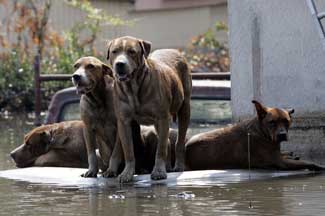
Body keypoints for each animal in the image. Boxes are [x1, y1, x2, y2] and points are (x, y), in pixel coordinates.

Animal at [107, 36, 191, 181]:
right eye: (114, 51)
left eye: (132, 52)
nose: (120, 64)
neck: (133, 88)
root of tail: (176, 51)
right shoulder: (124, 121)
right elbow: (128, 150)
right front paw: (127, 173)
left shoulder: (162, 118)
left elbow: (160, 149)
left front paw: (158, 171)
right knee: (166, 141)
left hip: (185, 107)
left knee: (178, 140)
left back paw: (178, 166)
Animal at [185, 100, 324, 171]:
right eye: (272, 122)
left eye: (286, 121)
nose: (282, 135)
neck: (261, 132)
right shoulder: (280, 162)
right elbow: (308, 162)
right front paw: (319, 166)